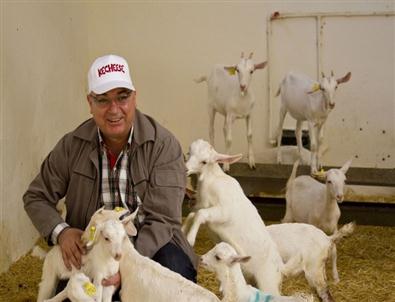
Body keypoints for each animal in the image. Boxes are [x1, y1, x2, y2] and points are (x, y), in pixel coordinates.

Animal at [182, 139, 284, 294]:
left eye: (204, 161)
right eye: (189, 153)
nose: (185, 169)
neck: (212, 181)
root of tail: (280, 268)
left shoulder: (223, 212)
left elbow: (200, 214)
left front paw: (190, 239)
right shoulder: (202, 207)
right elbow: (192, 215)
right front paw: (182, 231)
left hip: (267, 280)